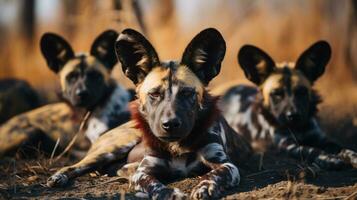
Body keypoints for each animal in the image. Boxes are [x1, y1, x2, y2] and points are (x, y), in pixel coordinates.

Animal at [114, 27, 250, 198]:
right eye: (155, 94)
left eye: (186, 93)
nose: (170, 124)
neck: (177, 147)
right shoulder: (143, 172)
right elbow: (153, 184)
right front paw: (168, 194)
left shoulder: (226, 165)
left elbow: (213, 174)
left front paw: (204, 186)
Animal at [218, 41, 356, 170]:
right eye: (276, 94)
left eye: (301, 92)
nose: (293, 115)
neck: (297, 128)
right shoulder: (287, 144)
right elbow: (311, 149)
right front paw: (328, 158)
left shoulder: (321, 138)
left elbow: (343, 148)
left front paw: (353, 156)